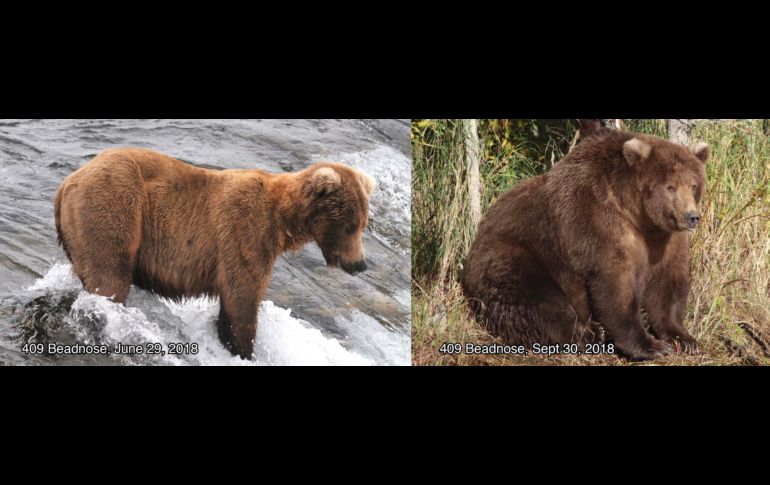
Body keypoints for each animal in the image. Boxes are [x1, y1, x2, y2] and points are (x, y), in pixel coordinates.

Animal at [54, 148, 376, 359]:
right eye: (351, 226)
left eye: (363, 224)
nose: (360, 263)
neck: (282, 222)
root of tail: (67, 183)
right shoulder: (244, 235)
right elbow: (242, 300)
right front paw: (243, 349)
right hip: (115, 204)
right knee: (109, 278)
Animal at [461, 129, 709, 361]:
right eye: (671, 187)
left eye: (693, 185)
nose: (691, 217)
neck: (639, 216)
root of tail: (476, 240)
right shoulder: (598, 224)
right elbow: (616, 285)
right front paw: (651, 346)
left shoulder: (666, 240)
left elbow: (668, 283)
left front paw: (683, 338)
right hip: (514, 256)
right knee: (539, 301)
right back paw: (588, 334)